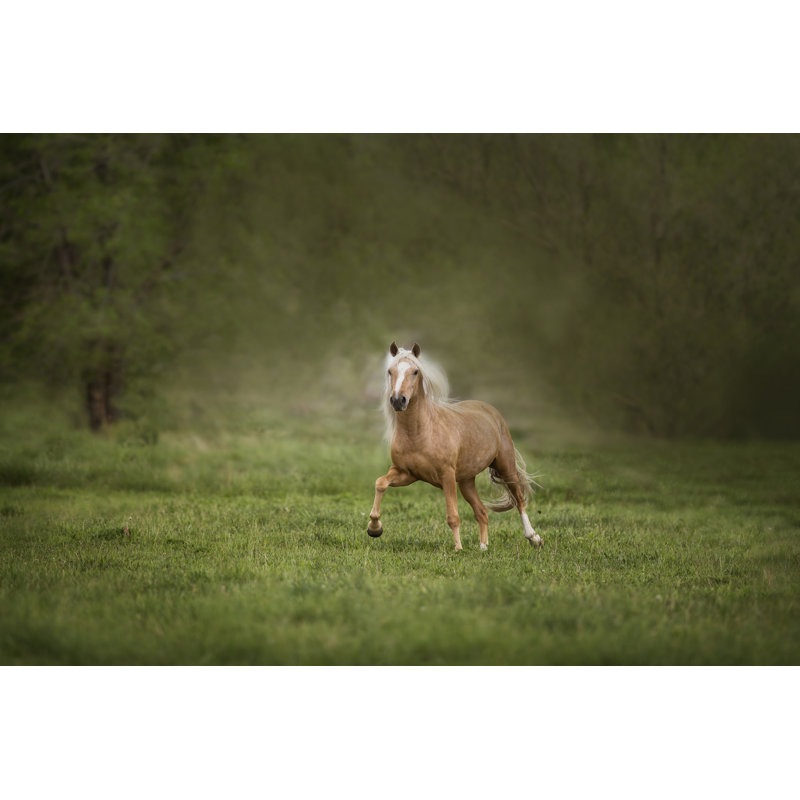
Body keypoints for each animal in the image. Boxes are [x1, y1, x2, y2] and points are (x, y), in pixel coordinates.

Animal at [366, 342, 543, 552]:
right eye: (390, 371)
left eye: (415, 371)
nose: (397, 400)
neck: (419, 433)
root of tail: (491, 411)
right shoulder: (406, 473)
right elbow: (380, 483)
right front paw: (374, 528)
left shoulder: (446, 475)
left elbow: (453, 516)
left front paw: (458, 549)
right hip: (466, 481)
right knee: (482, 511)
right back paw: (483, 547)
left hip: (505, 466)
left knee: (519, 500)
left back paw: (534, 538)